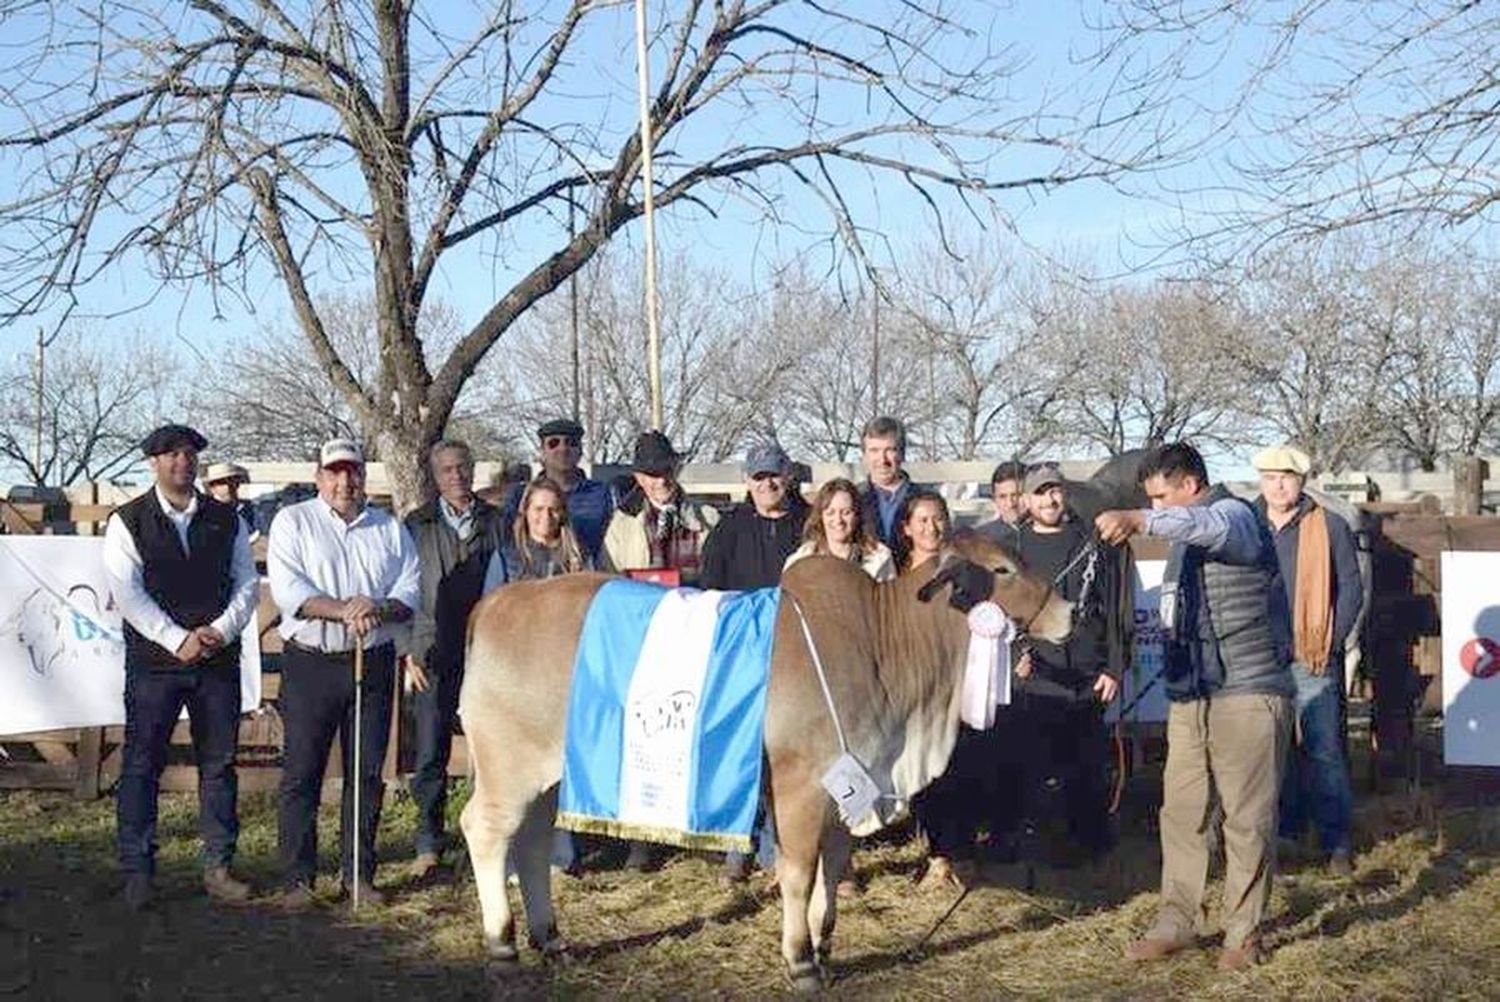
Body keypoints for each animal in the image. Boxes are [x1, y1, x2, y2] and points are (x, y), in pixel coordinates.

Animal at [450, 528, 1074, 990]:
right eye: (1002, 570)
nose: (1068, 612)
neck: (881, 645)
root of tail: (497, 602)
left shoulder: (848, 786)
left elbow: (832, 865)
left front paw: (825, 944)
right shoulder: (800, 784)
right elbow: (797, 871)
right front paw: (800, 960)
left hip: (551, 774)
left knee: (531, 843)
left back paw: (551, 939)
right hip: (508, 766)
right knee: (486, 830)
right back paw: (502, 944)